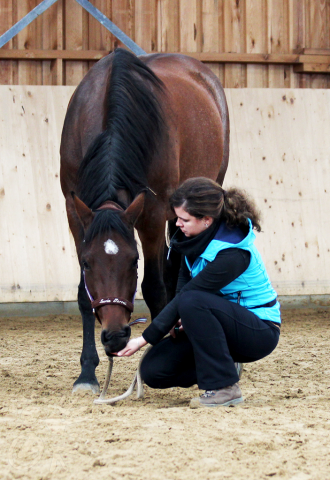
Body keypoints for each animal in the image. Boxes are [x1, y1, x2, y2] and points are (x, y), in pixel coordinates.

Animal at [60, 48, 229, 394]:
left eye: (133, 261)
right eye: (87, 263)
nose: (115, 336)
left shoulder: (152, 213)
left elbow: (153, 287)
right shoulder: (74, 213)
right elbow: (83, 295)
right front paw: (86, 373)